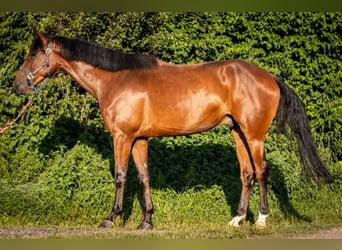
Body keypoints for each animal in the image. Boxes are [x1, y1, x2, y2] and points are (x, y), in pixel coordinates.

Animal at [13, 31, 334, 229]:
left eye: (34, 55)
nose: (17, 85)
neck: (115, 79)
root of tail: (269, 76)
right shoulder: (139, 139)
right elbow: (143, 177)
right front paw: (146, 221)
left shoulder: (122, 137)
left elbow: (120, 176)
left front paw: (111, 218)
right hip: (238, 133)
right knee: (247, 174)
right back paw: (237, 219)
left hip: (254, 135)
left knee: (262, 170)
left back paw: (261, 220)